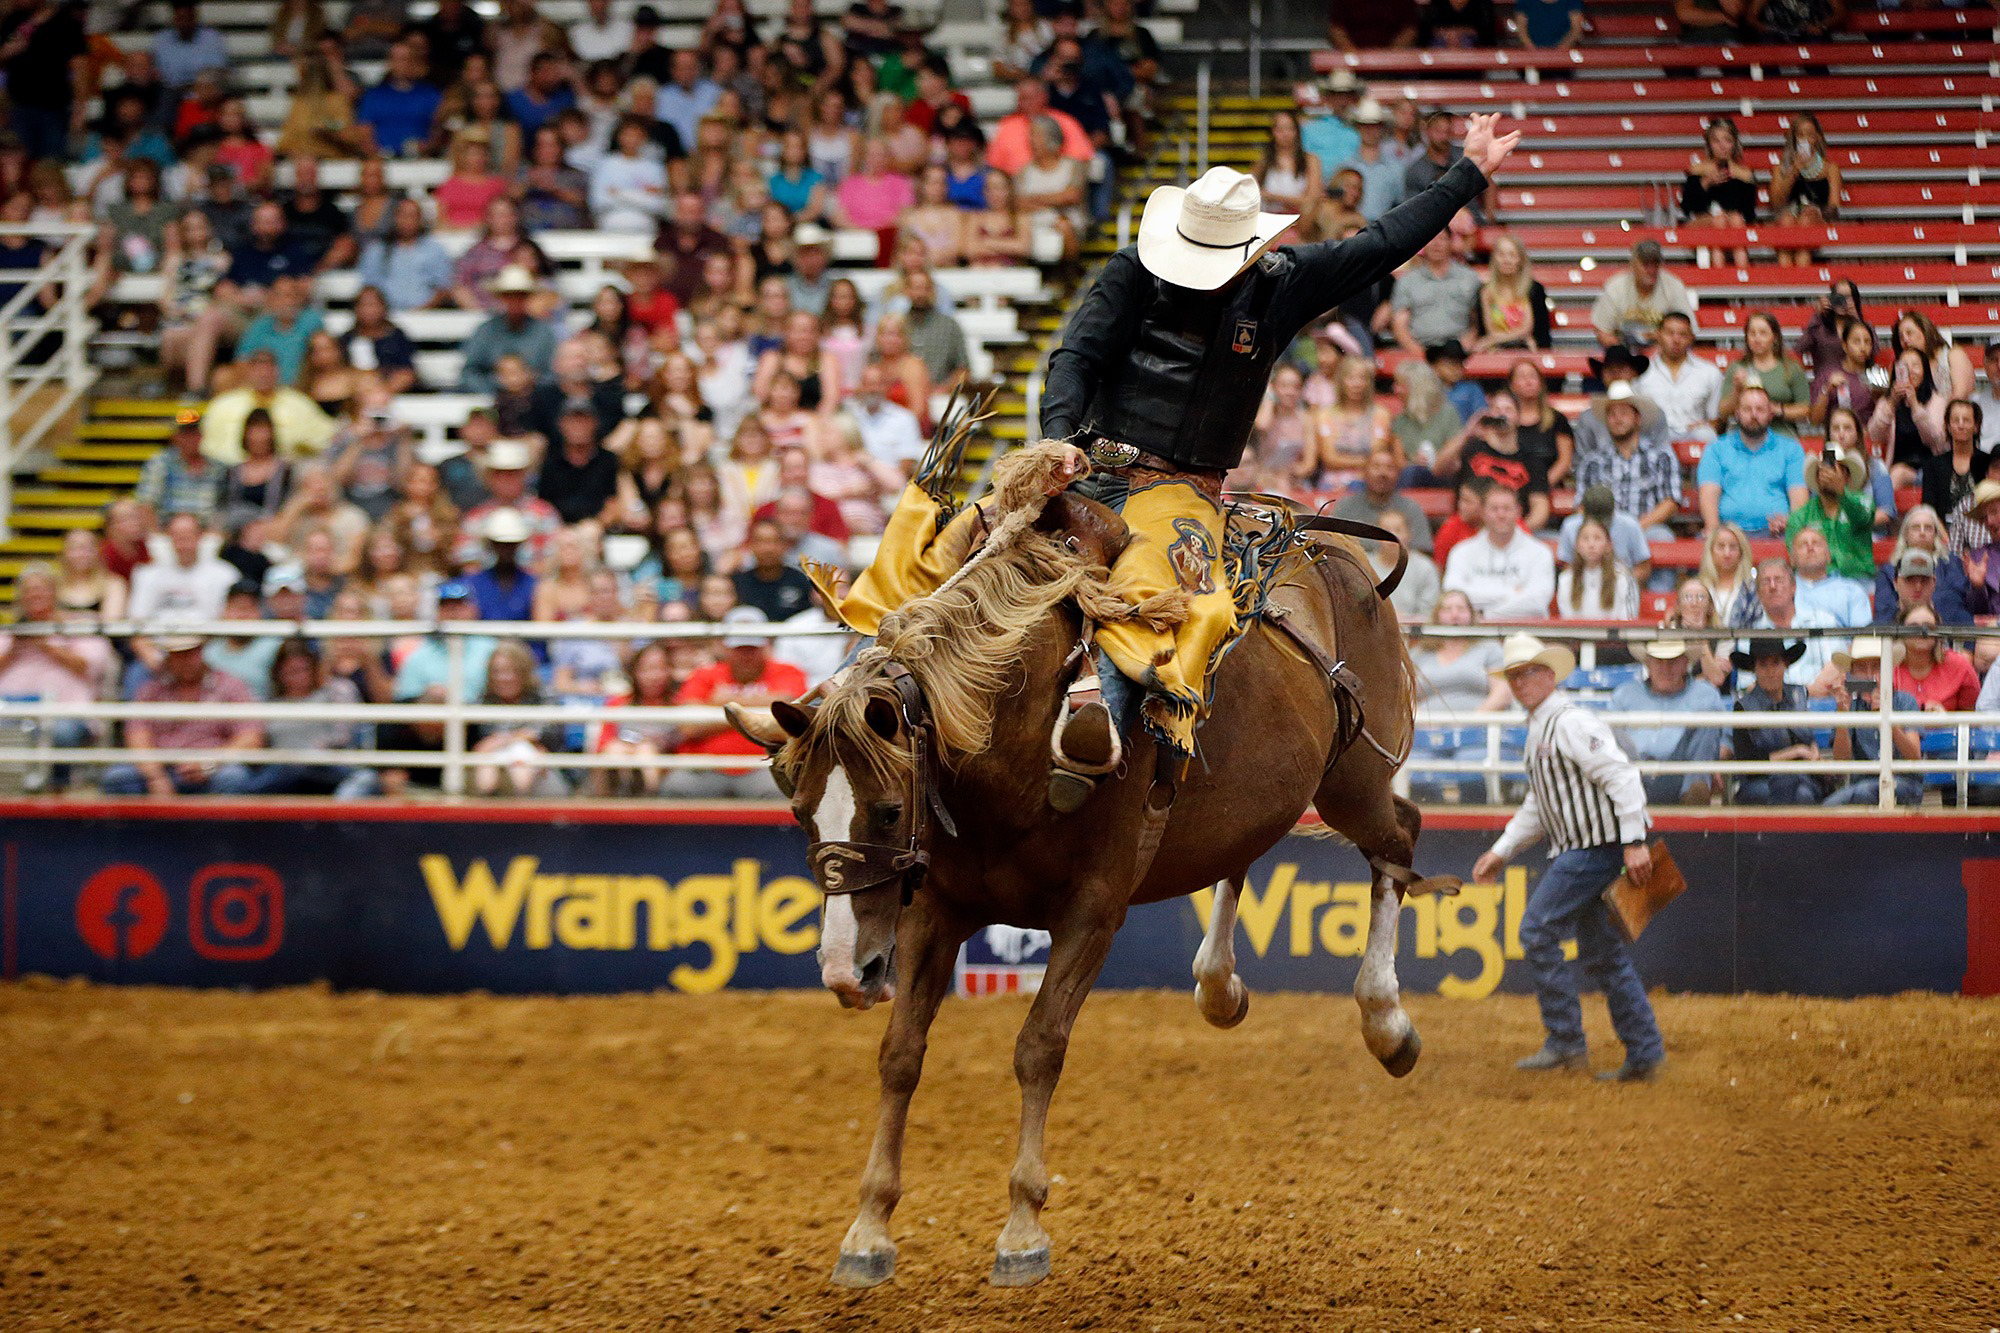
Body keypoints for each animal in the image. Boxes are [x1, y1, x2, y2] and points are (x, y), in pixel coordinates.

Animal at [732, 440, 1456, 1280]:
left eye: (886, 808)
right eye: (798, 809)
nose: (847, 971)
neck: (1015, 732)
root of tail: (1321, 541)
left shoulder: (1093, 911)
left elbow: (1039, 1047)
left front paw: (1022, 1227)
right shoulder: (936, 912)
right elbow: (900, 1054)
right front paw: (869, 1227)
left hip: (1355, 780)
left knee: (1398, 840)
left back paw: (1386, 1019)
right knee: (1244, 857)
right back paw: (1219, 984)